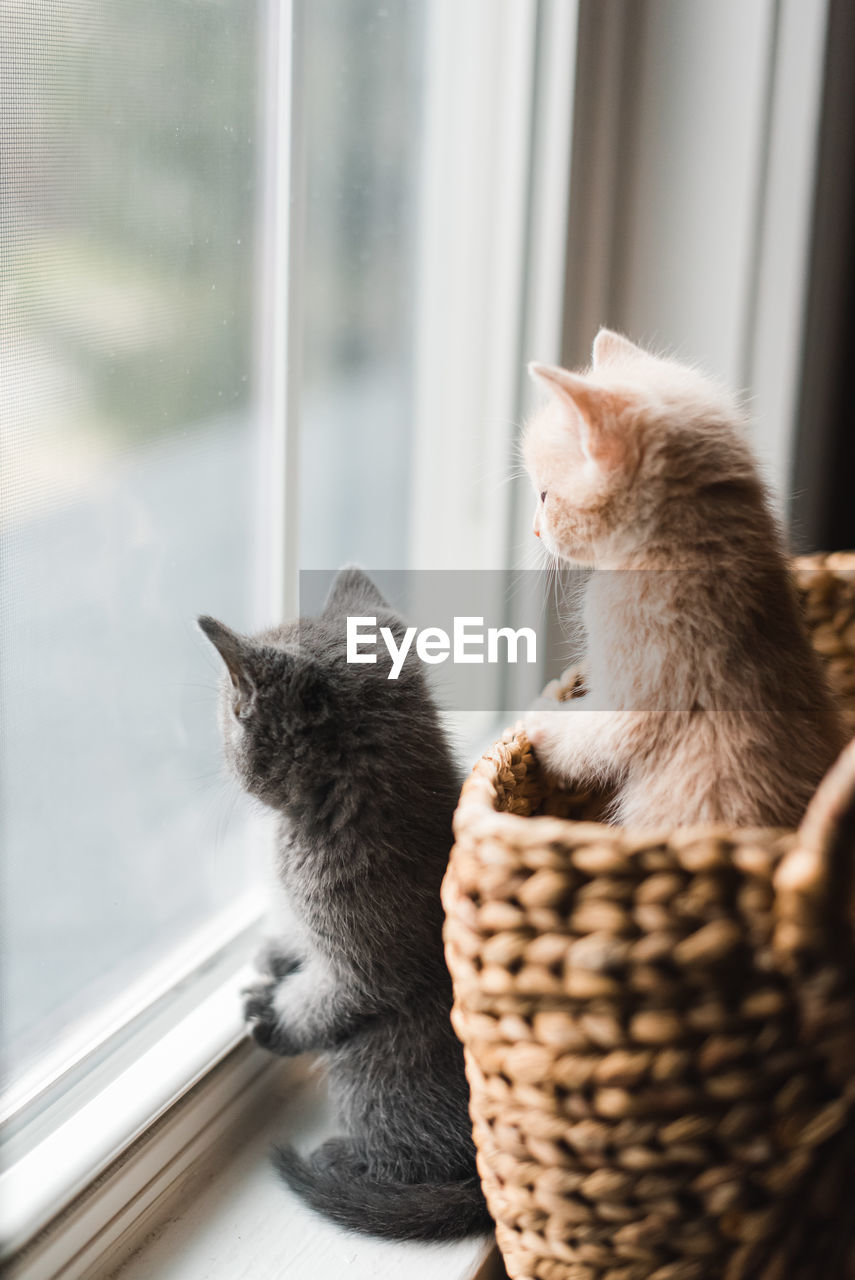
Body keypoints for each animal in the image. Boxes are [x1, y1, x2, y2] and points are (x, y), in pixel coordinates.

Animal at [198, 568, 491, 1239]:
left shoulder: (365, 966)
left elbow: (324, 1000)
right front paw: (278, 956)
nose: (216, 735)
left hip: (371, 1068)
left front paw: (273, 1015)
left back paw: (343, 1162)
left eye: (230, 708)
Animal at [524, 330, 844, 829]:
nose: (536, 530)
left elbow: (594, 734)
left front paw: (541, 718)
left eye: (543, 496)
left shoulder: (639, 691)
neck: (687, 548)